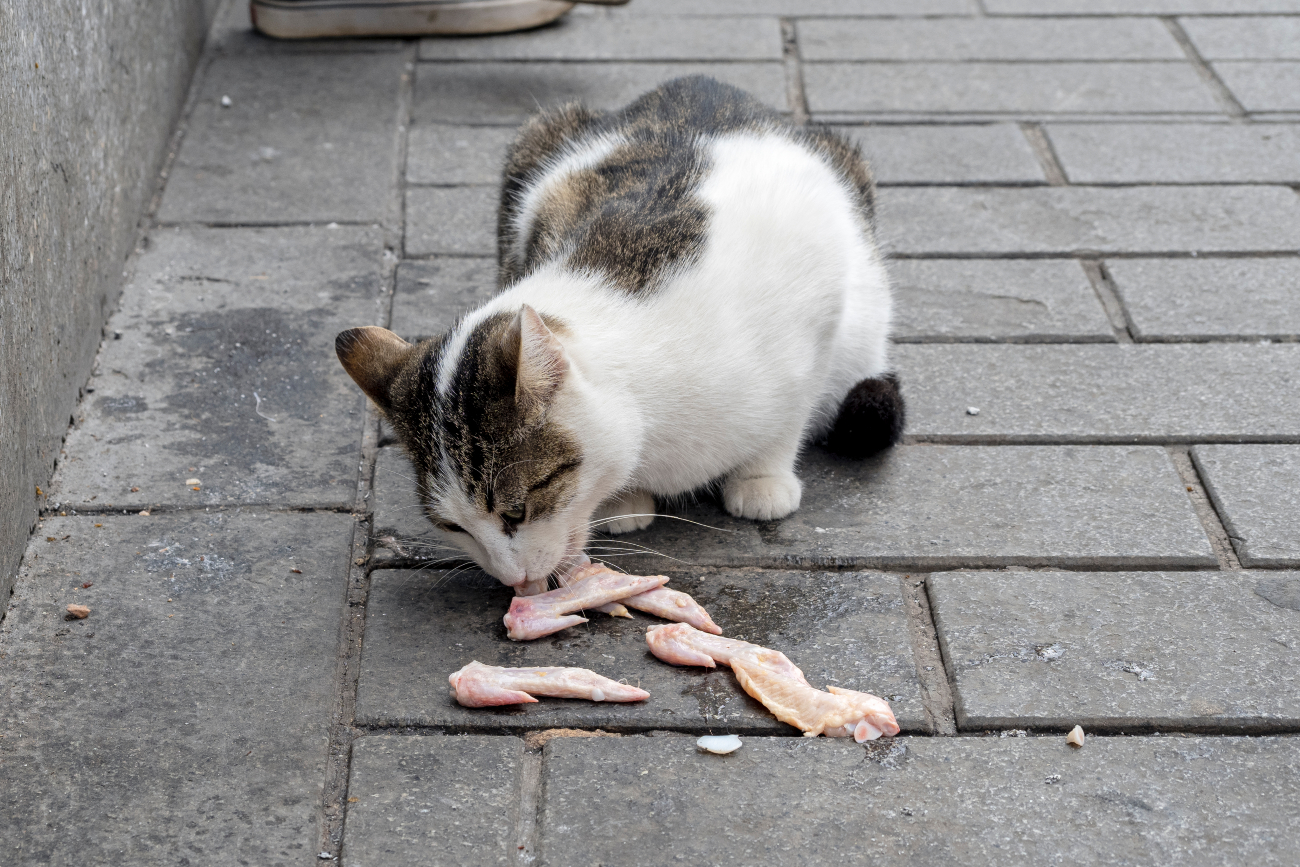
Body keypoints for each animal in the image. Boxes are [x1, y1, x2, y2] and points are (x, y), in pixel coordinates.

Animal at [335, 76, 904, 597]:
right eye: (453, 526)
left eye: (517, 510)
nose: (509, 579)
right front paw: (623, 502)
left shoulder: (818, 297)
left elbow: (789, 415)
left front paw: (762, 477)